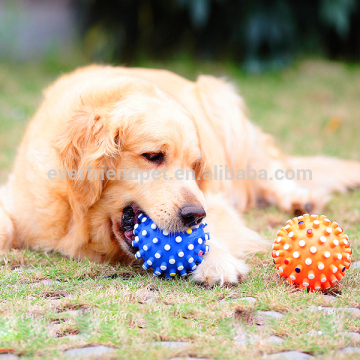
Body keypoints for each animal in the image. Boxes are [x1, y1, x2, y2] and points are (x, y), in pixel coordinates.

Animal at [0, 64, 360, 284]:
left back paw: (300, 200)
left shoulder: (213, 200)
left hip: (223, 103)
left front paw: (215, 261)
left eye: (194, 166)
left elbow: (210, 235)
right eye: (153, 156)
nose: (193, 215)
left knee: (270, 168)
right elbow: (6, 228)